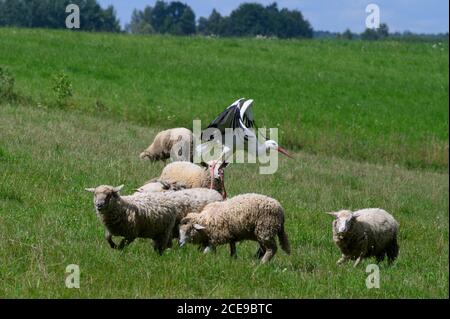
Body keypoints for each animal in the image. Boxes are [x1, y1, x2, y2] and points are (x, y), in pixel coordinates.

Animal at [84, 185, 221, 255]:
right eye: (95, 194)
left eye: (109, 195)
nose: (99, 205)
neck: (125, 206)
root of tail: (216, 193)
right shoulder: (112, 229)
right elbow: (107, 237)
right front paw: (113, 246)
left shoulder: (132, 233)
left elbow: (123, 243)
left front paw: (119, 249)